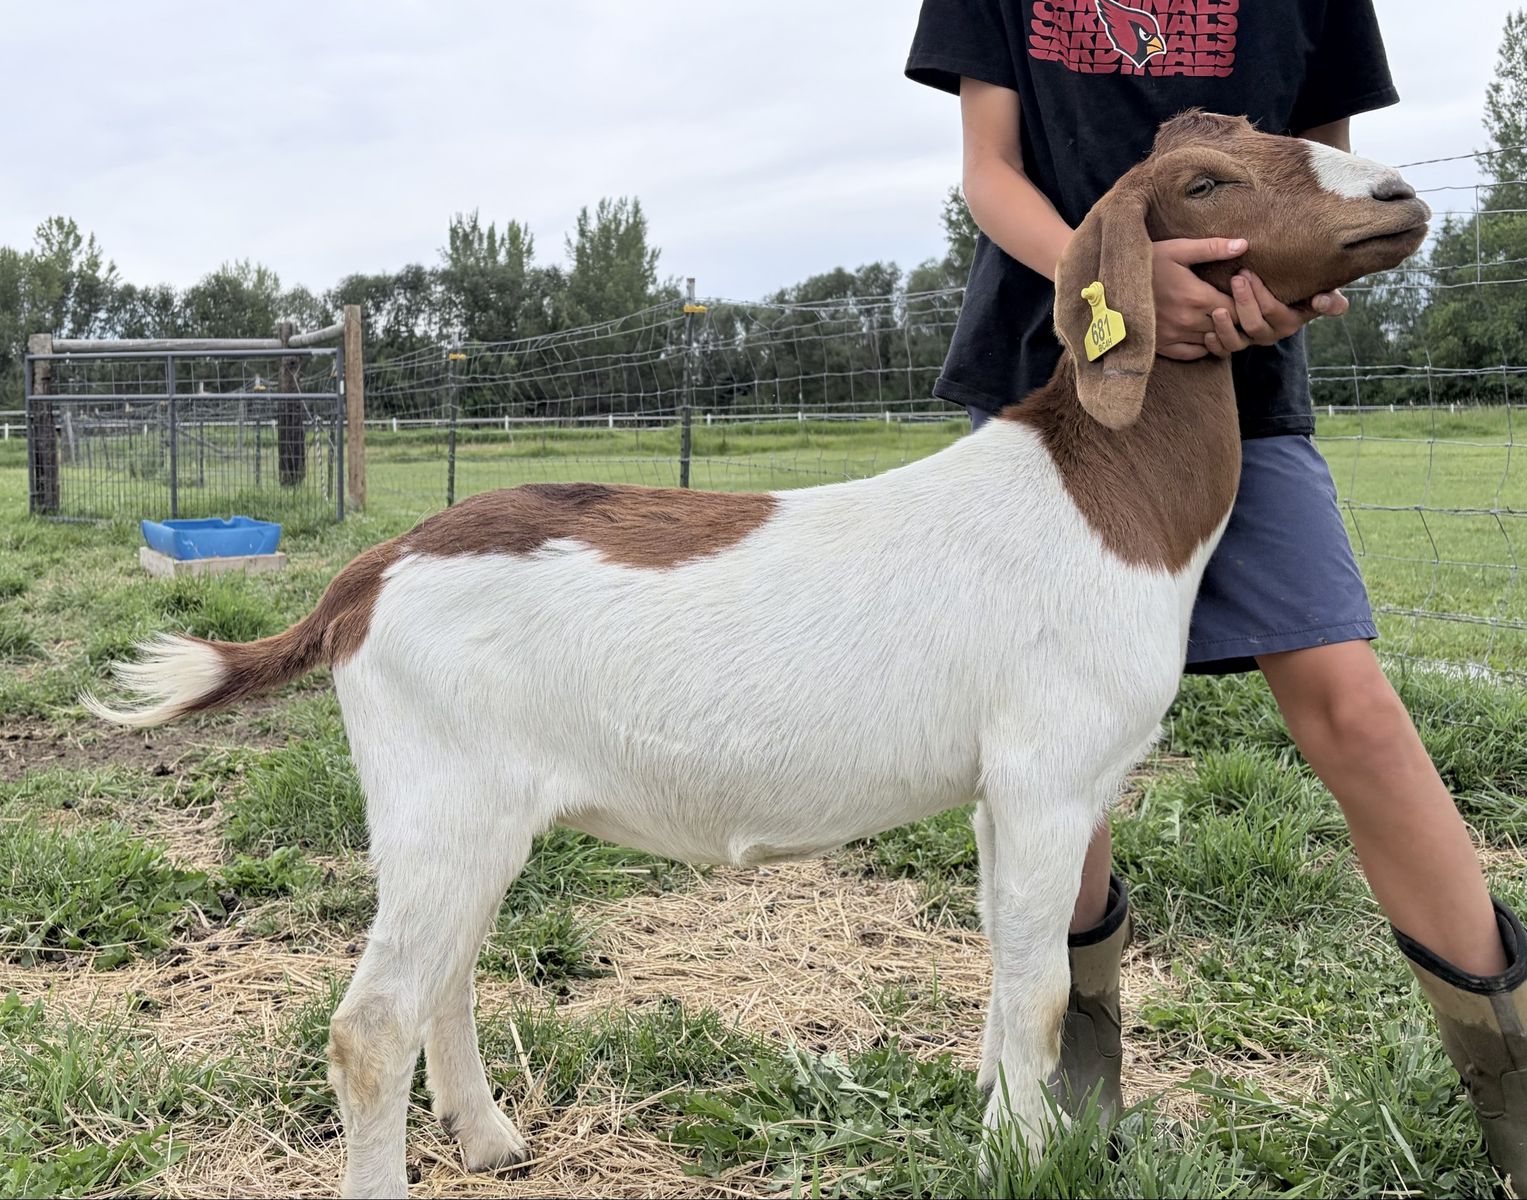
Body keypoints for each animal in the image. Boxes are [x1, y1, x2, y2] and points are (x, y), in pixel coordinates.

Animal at [86, 113, 1430, 1197]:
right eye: (1204, 183)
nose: (1398, 196)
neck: (1103, 495)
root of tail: (366, 578)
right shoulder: (1050, 774)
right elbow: (1042, 986)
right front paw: (1022, 1161)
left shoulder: (1003, 791)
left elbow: (1009, 974)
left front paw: (1009, 1133)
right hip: (442, 795)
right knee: (371, 1025)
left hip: (467, 813)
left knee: (446, 979)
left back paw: (492, 1140)